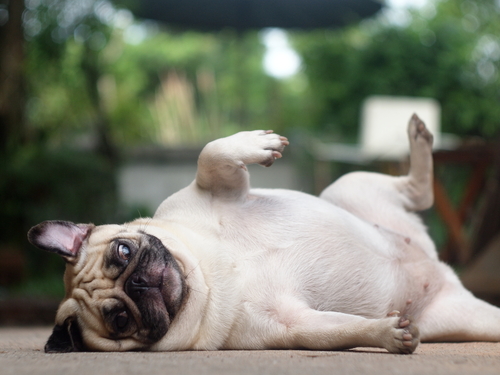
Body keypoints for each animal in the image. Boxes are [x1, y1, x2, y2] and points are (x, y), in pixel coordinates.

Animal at [28, 115, 500, 356]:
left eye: (124, 251)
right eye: (120, 321)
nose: (139, 283)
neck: (209, 276)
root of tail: (438, 267)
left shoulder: (211, 190)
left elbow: (211, 155)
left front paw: (257, 144)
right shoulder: (294, 327)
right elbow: (340, 330)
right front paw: (386, 334)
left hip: (349, 187)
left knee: (416, 190)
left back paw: (418, 141)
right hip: (460, 320)